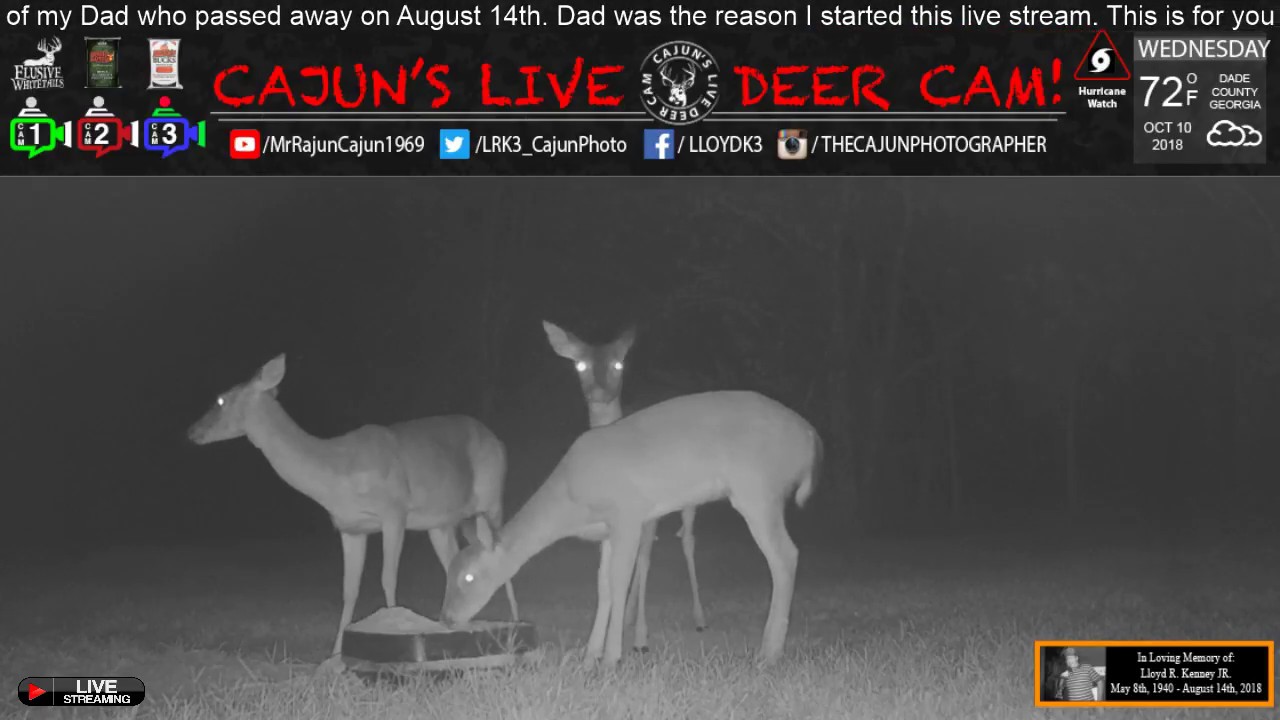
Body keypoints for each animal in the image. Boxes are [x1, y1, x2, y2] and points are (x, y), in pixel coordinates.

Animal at [187, 354, 518, 662]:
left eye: (221, 399)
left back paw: (514, 623)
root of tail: (499, 441)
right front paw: (335, 657)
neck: (337, 474)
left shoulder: (394, 510)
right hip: (443, 522)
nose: (191, 431)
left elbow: (387, 577)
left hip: (491, 499)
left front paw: (393, 633)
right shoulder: (350, 528)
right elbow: (349, 591)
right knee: (455, 562)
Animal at [441, 389, 822, 668]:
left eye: (469, 577)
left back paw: (769, 654)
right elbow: (603, 587)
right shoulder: (608, 531)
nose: (446, 618)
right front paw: (589, 655)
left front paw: (612, 658)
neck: (571, 498)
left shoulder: (627, 514)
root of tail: (810, 438)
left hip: (757, 490)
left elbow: (619, 581)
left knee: (786, 556)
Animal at [541, 321, 705, 654]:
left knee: (686, 540)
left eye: (619, 363)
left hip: (688, 493)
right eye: (579, 364)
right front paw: (598, 645)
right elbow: (607, 576)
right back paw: (628, 616)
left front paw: (640, 639)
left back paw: (698, 617)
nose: (598, 392)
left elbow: (642, 561)